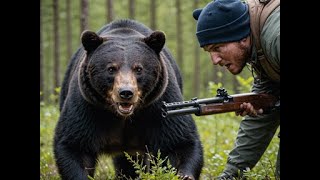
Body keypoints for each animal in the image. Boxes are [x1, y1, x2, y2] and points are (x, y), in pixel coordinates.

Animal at [52, 19, 202, 179]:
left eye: (139, 69)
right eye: (111, 68)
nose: (126, 92)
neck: (124, 116)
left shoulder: (160, 104)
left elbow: (178, 141)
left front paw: (184, 174)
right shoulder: (87, 106)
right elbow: (75, 145)